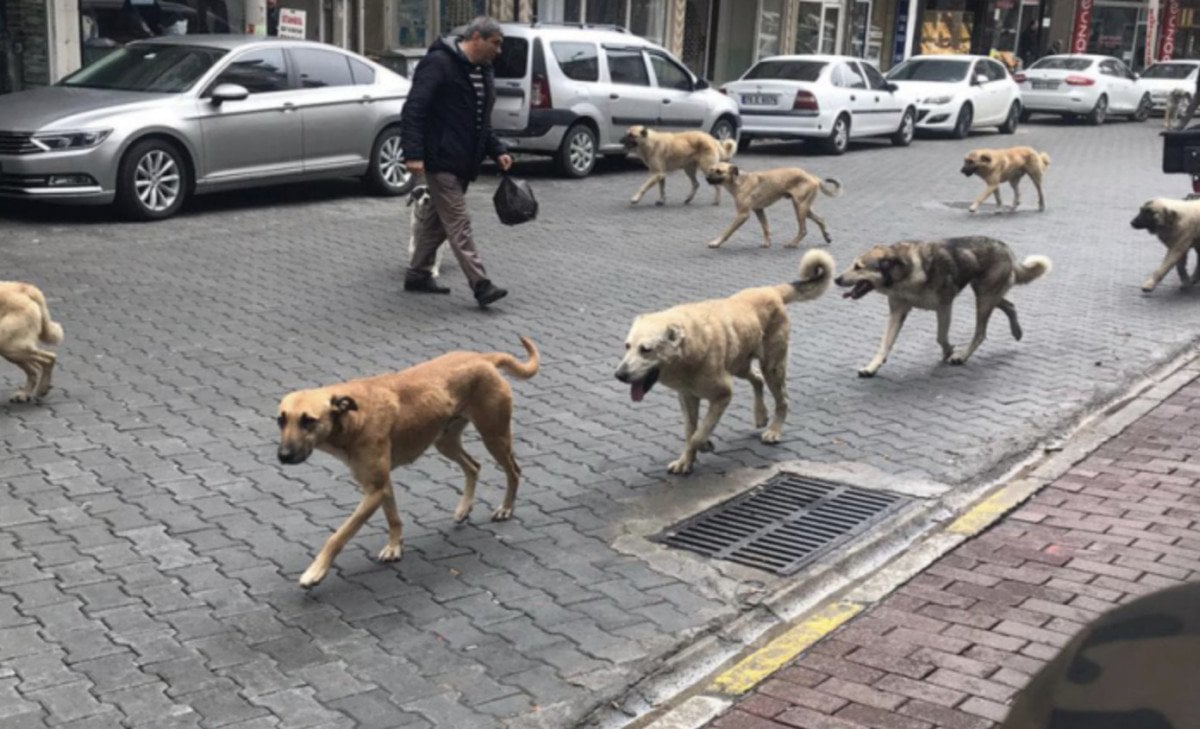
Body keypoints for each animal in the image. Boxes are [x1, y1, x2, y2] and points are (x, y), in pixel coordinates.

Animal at [276, 338, 540, 589]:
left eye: (308, 421)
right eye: (281, 420)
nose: (283, 456)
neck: (353, 419)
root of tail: (483, 357)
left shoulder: (374, 490)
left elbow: (339, 535)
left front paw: (315, 572)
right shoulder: (381, 485)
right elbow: (393, 518)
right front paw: (395, 546)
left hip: (494, 436)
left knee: (514, 471)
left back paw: (506, 508)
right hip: (445, 441)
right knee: (473, 466)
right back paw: (464, 508)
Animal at [614, 248, 830, 474]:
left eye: (645, 350)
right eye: (627, 346)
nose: (619, 375)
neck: (689, 353)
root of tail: (771, 290)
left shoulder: (723, 394)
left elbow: (698, 434)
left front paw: (704, 444)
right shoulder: (687, 397)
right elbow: (690, 431)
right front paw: (686, 461)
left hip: (772, 367)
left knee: (783, 399)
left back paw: (774, 430)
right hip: (739, 365)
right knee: (757, 378)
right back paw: (760, 415)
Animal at [700, 160, 844, 249]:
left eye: (719, 171)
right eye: (710, 170)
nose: (707, 178)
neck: (739, 182)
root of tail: (812, 177)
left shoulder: (743, 214)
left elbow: (727, 231)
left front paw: (716, 243)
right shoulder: (759, 210)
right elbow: (766, 228)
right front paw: (767, 243)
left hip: (799, 207)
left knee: (803, 230)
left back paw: (793, 243)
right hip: (805, 208)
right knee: (821, 219)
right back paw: (827, 237)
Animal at [835, 237, 1051, 376]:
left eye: (858, 267)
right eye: (853, 265)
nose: (836, 279)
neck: (904, 273)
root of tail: (1006, 248)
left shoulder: (944, 306)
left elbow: (940, 336)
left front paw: (949, 351)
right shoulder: (897, 311)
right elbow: (884, 344)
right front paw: (872, 367)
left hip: (984, 297)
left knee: (980, 333)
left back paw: (962, 356)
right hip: (986, 293)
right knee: (1010, 305)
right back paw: (1017, 331)